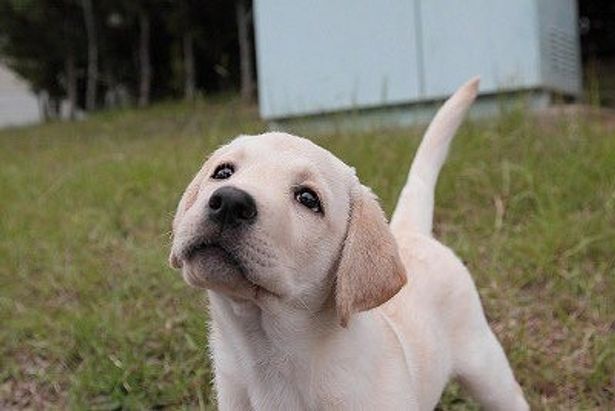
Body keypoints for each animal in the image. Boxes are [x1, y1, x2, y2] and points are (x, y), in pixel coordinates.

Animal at [170, 79, 528, 410]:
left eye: (308, 199)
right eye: (223, 172)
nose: (229, 202)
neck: (269, 350)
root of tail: (410, 232)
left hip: (485, 366)